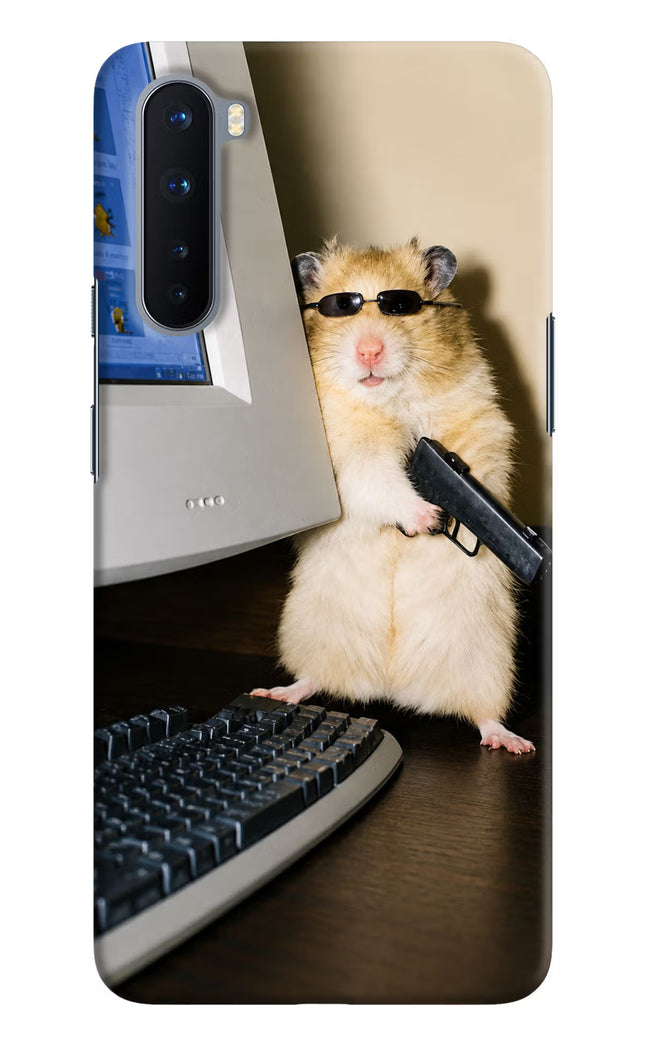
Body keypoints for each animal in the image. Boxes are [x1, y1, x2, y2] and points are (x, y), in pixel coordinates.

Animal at [252, 238, 534, 754]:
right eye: (340, 307)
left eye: (401, 306)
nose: (369, 350)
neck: (389, 401)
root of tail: (393, 686)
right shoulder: (348, 458)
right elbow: (380, 481)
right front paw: (428, 518)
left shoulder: (481, 424)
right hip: (311, 632)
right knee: (313, 678)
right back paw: (276, 692)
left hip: (487, 661)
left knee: (483, 714)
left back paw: (512, 742)